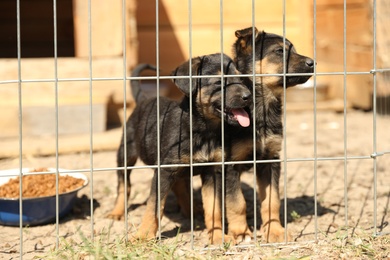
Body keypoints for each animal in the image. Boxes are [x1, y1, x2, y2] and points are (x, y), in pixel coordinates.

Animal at [108, 52, 253, 244]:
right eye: (219, 81)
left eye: (239, 78)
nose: (248, 96)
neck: (202, 130)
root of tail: (144, 100)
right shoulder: (164, 171)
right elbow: (154, 207)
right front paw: (143, 236)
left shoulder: (212, 172)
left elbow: (213, 209)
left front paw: (216, 236)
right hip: (126, 152)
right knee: (124, 185)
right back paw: (117, 212)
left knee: (180, 186)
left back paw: (192, 210)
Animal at [230, 26, 316, 242]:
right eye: (279, 51)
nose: (313, 63)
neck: (262, 107)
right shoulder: (229, 165)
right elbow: (237, 202)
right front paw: (241, 233)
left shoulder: (270, 160)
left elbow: (272, 200)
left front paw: (274, 231)